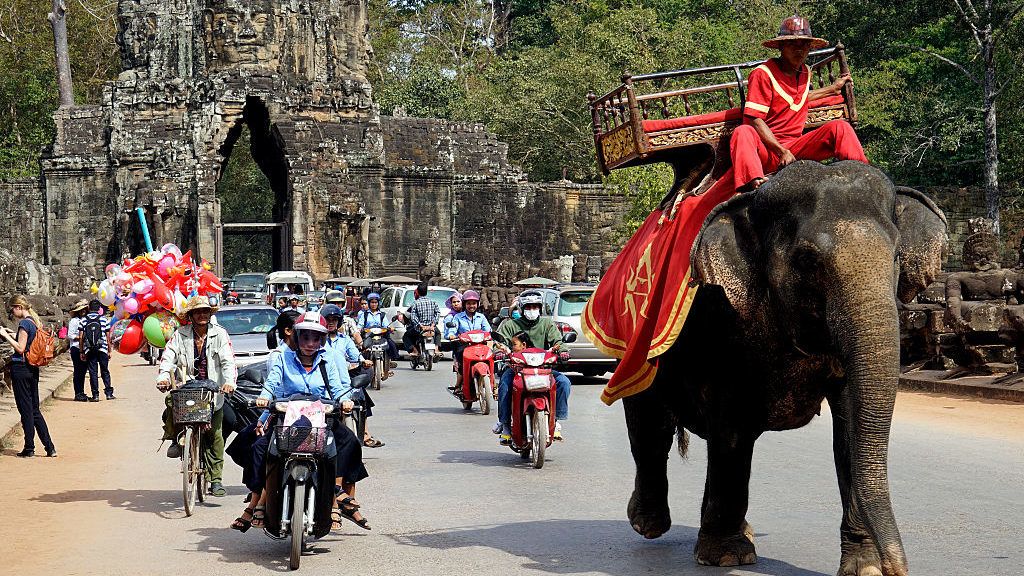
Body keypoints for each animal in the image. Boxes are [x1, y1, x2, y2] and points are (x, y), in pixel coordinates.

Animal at [622, 158, 950, 573]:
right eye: (807, 260)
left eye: (894, 258)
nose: (899, 569)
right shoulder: (722, 317)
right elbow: (730, 426)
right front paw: (727, 556)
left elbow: (849, 423)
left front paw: (865, 567)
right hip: (637, 342)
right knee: (650, 422)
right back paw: (647, 522)